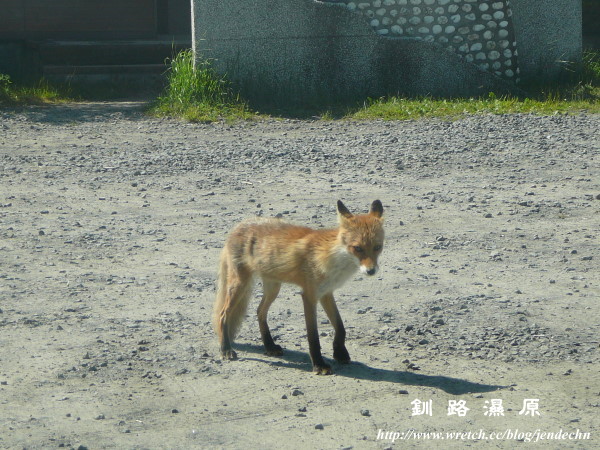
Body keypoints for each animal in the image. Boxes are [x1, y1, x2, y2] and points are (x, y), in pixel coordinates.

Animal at [214, 200, 384, 372]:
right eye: (357, 248)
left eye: (377, 247)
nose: (371, 271)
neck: (332, 257)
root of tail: (239, 225)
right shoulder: (309, 295)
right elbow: (313, 336)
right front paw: (319, 365)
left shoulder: (326, 293)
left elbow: (340, 327)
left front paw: (340, 353)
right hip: (240, 284)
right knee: (223, 314)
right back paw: (226, 349)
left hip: (273, 288)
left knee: (260, 311)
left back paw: (269, 346)